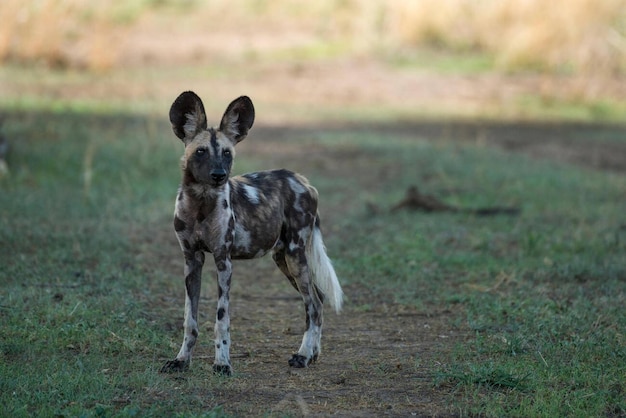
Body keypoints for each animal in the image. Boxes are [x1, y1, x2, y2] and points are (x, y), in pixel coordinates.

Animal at [156, 91, 342, 376]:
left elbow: (221, 321)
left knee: (313, 305)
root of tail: (303, 181)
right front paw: (181, 360)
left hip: (295, 256)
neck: (200, 203)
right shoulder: (192, 260)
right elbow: (190, 320)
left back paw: (302, 356)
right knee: (318, 301)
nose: (219, 175)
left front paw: (222, 363)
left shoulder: (223, 262)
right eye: (200, 151)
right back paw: (313, 354)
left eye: (227, 153)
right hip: (283, 260)